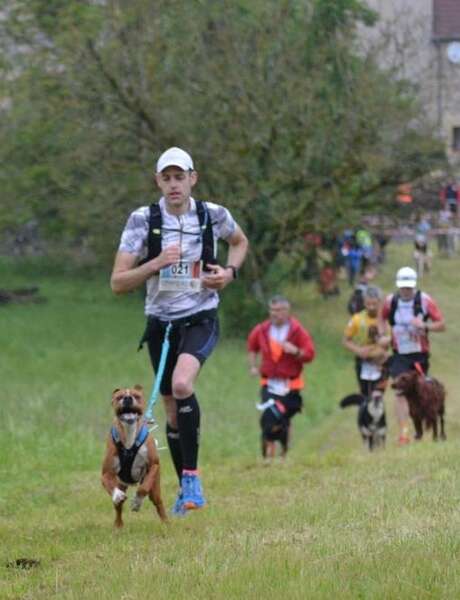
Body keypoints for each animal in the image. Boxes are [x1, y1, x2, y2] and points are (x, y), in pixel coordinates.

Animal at [100, 386, 167, 528]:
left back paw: (167, 523)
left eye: (136, 396)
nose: (127, 398)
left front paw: (137, 501)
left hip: (155, 488)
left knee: (158, 502)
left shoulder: (154, 465)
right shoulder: (106, 473)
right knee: (118, 508)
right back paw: (118, 526)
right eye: (119, 397)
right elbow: (110, 485)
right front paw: (117, 495)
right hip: (121, 483)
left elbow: (143, 488)